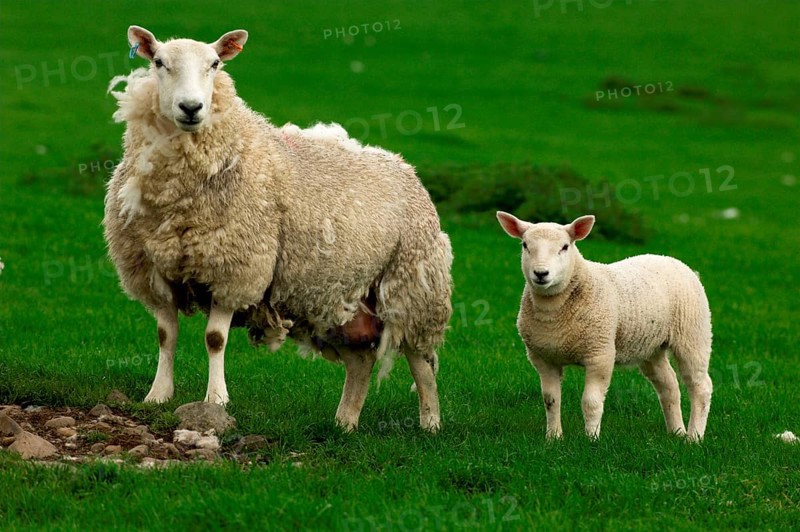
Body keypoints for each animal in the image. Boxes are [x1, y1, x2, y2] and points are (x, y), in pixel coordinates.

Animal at [103, 26, 452, 432]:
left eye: (215, 64)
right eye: (159, 62)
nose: (191, 108)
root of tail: (404, 166)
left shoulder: (236, 269)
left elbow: (215, 339)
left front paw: (216, 399)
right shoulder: (153, 272)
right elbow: (165, 335)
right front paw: (158, 395)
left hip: (412, 287)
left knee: (421, 361)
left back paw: (430, 423)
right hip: (338, 296)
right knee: (361, 360)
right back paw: (344, 423)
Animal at [496, 211, 713, 441]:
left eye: (565, 247)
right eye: (525, 245)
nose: (541, 273)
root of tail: (673, 260)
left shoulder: (600, 353)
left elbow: (591, 402)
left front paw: (591, 439)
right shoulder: (543, 358)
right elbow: (550, 400)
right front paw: (553, 438)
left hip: (693, 334)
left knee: (701, 386)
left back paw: (694, 437)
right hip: (650, 346)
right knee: (669, 385)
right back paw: (677, 432)